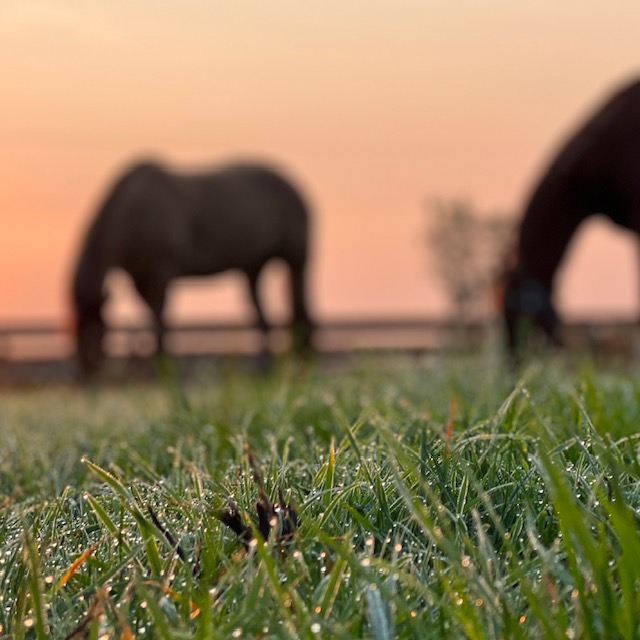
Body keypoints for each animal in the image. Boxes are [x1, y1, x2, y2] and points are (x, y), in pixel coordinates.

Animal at [72, 160, 316, 378]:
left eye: (94, 329)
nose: (86, 374)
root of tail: (295, 188)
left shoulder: (161, 274)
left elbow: (161, 321)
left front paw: (163, 369)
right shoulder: (140, 281)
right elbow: (152, 319)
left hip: (297, 261)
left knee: (302, 312)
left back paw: (302, 364)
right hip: (253, 267)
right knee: (263, 319)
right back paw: (266, 369)